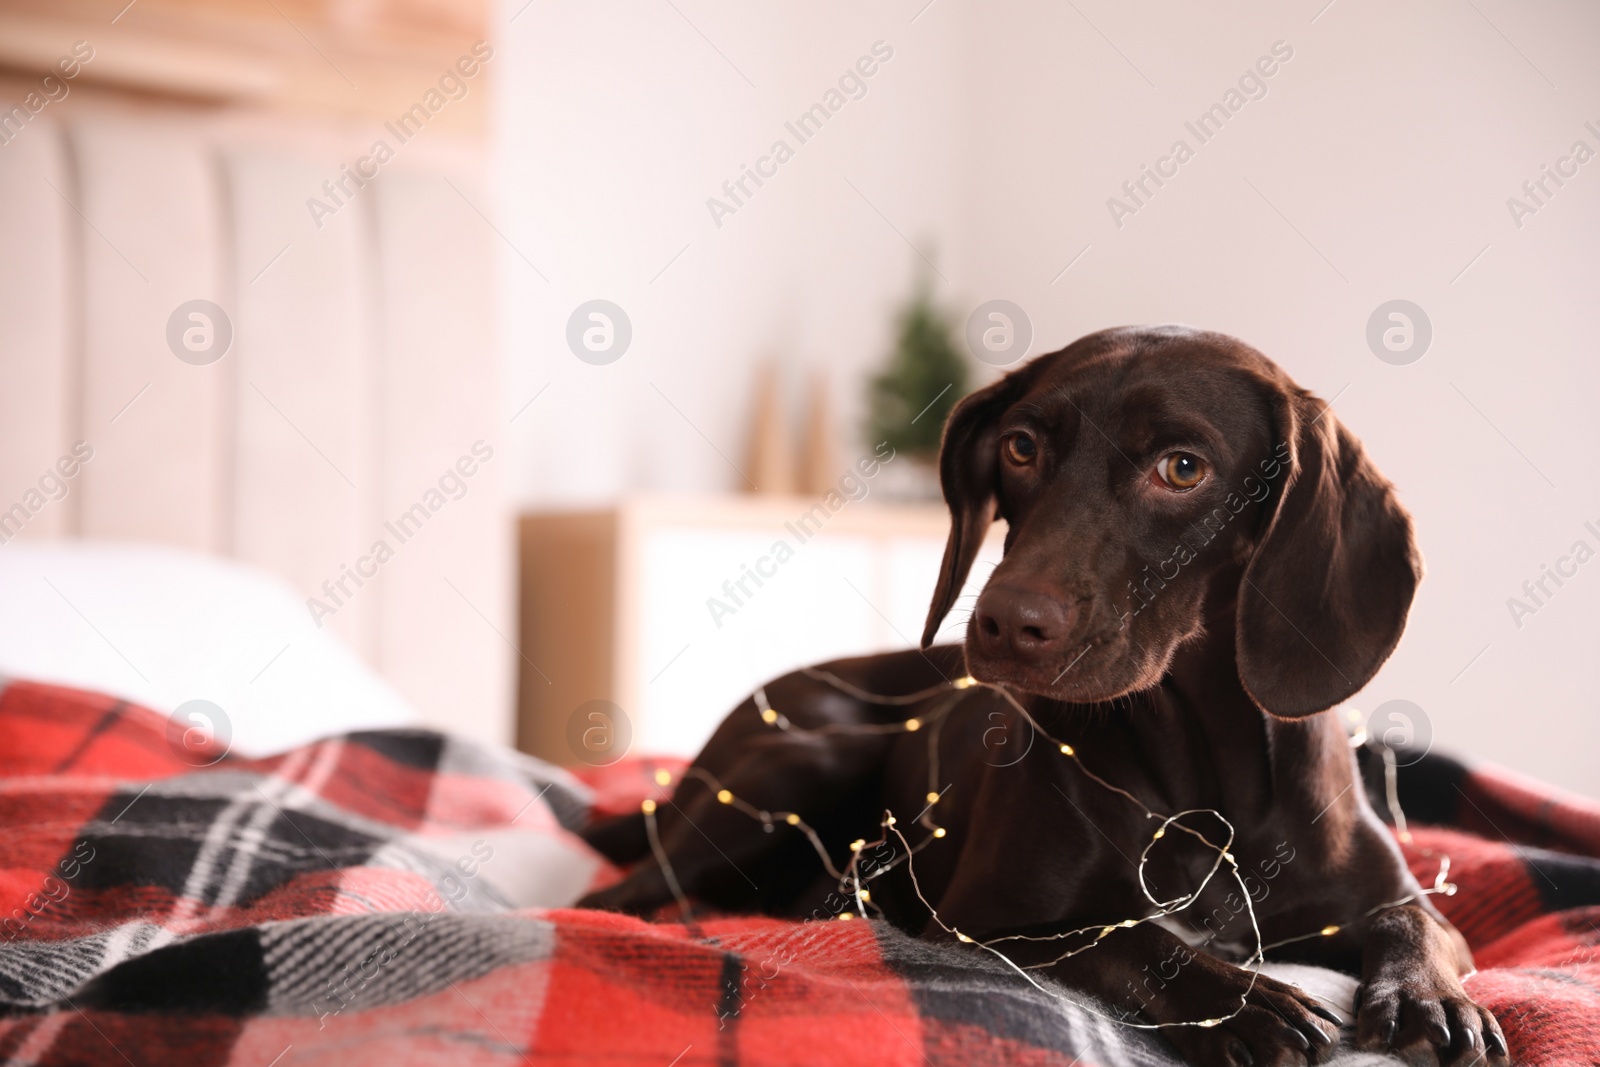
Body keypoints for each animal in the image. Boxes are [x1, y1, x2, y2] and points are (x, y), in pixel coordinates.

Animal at [582, 327, 1504, 1067]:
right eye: (1021, 447)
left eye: (1183, 467)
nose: (1003, 621)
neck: (1201, 797)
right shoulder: (983, 926)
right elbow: (1124, 935)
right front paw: (1243, 1002)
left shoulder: (1394, 901)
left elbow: (1416, 924)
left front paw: (1429, 996)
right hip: (810, 759)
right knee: (612, 896)